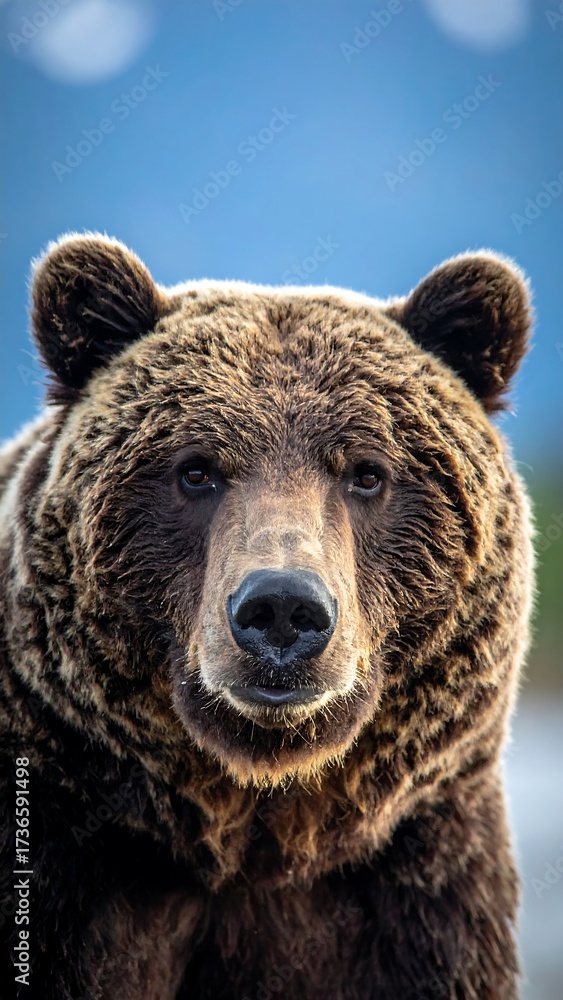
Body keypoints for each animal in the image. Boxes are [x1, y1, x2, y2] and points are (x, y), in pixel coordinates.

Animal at [0, 233, 534, 1000]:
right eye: (195, 469)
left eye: (367, 472)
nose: (281, 607)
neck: (257, 827)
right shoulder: (74, 871)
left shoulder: (423, 897)